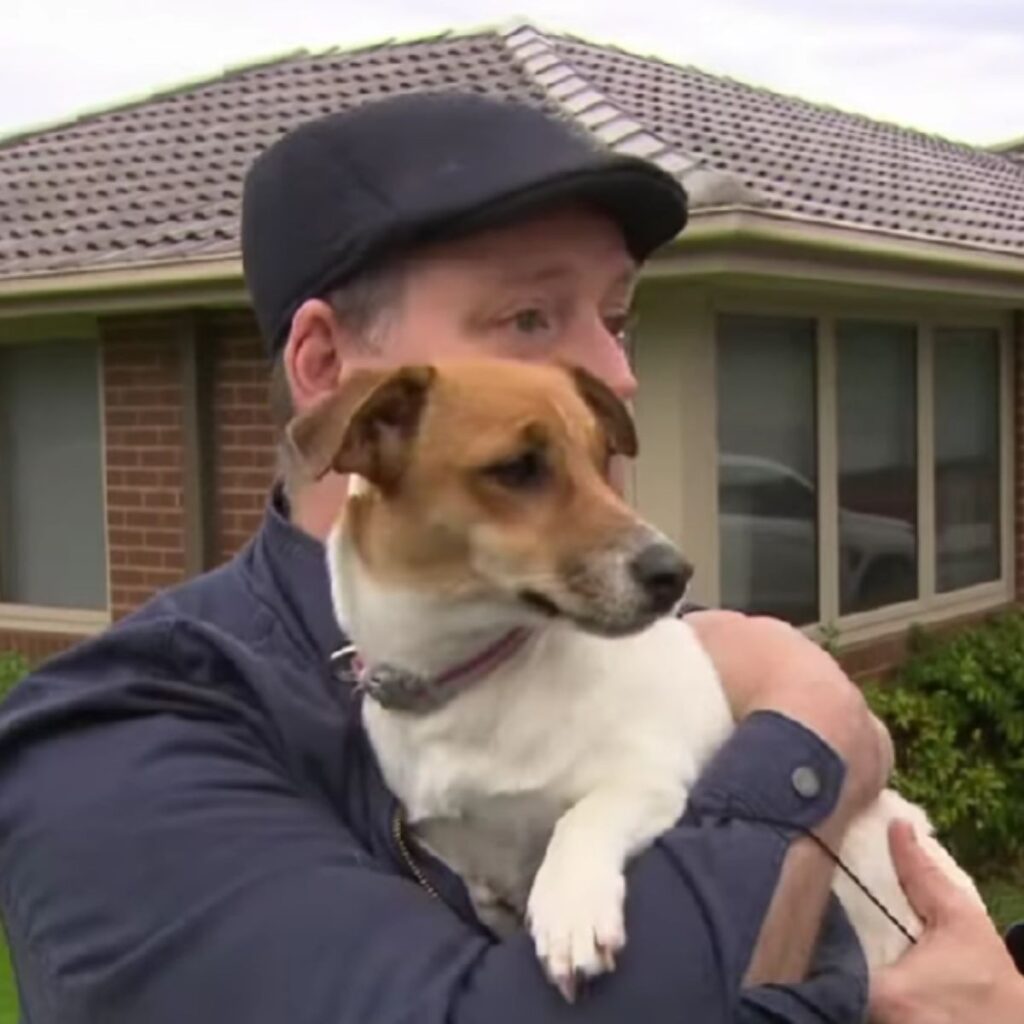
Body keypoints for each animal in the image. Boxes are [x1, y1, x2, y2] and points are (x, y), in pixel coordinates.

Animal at [288, 358, 983, 999]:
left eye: (603, 459)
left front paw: (570, 910)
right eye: (517, 467)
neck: (476, 678)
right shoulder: (457, 853)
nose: (674, 572)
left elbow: (582, 817)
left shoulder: (654, 779)